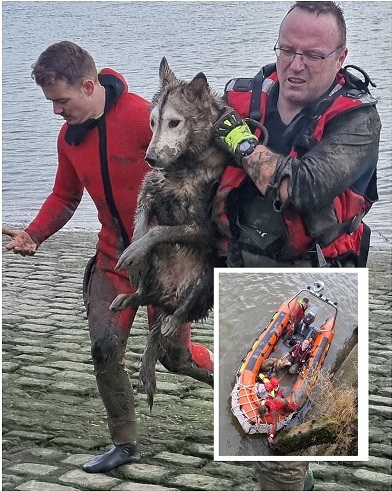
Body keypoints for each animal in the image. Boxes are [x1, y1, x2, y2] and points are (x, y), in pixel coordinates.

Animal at [108, 57, 230, 410]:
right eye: (152, 123)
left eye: (174, 122)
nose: (150, 157)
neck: (182, 168)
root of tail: (167, 296)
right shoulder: (150, 189)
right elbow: (141, 224)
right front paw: (133, 249)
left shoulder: (203, 228)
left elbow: (161, 229)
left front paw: (138, 247)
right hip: (154, 275)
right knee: (144, 294)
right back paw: (131, 295)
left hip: (208, 276)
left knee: (180, 311)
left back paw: (172, 320)